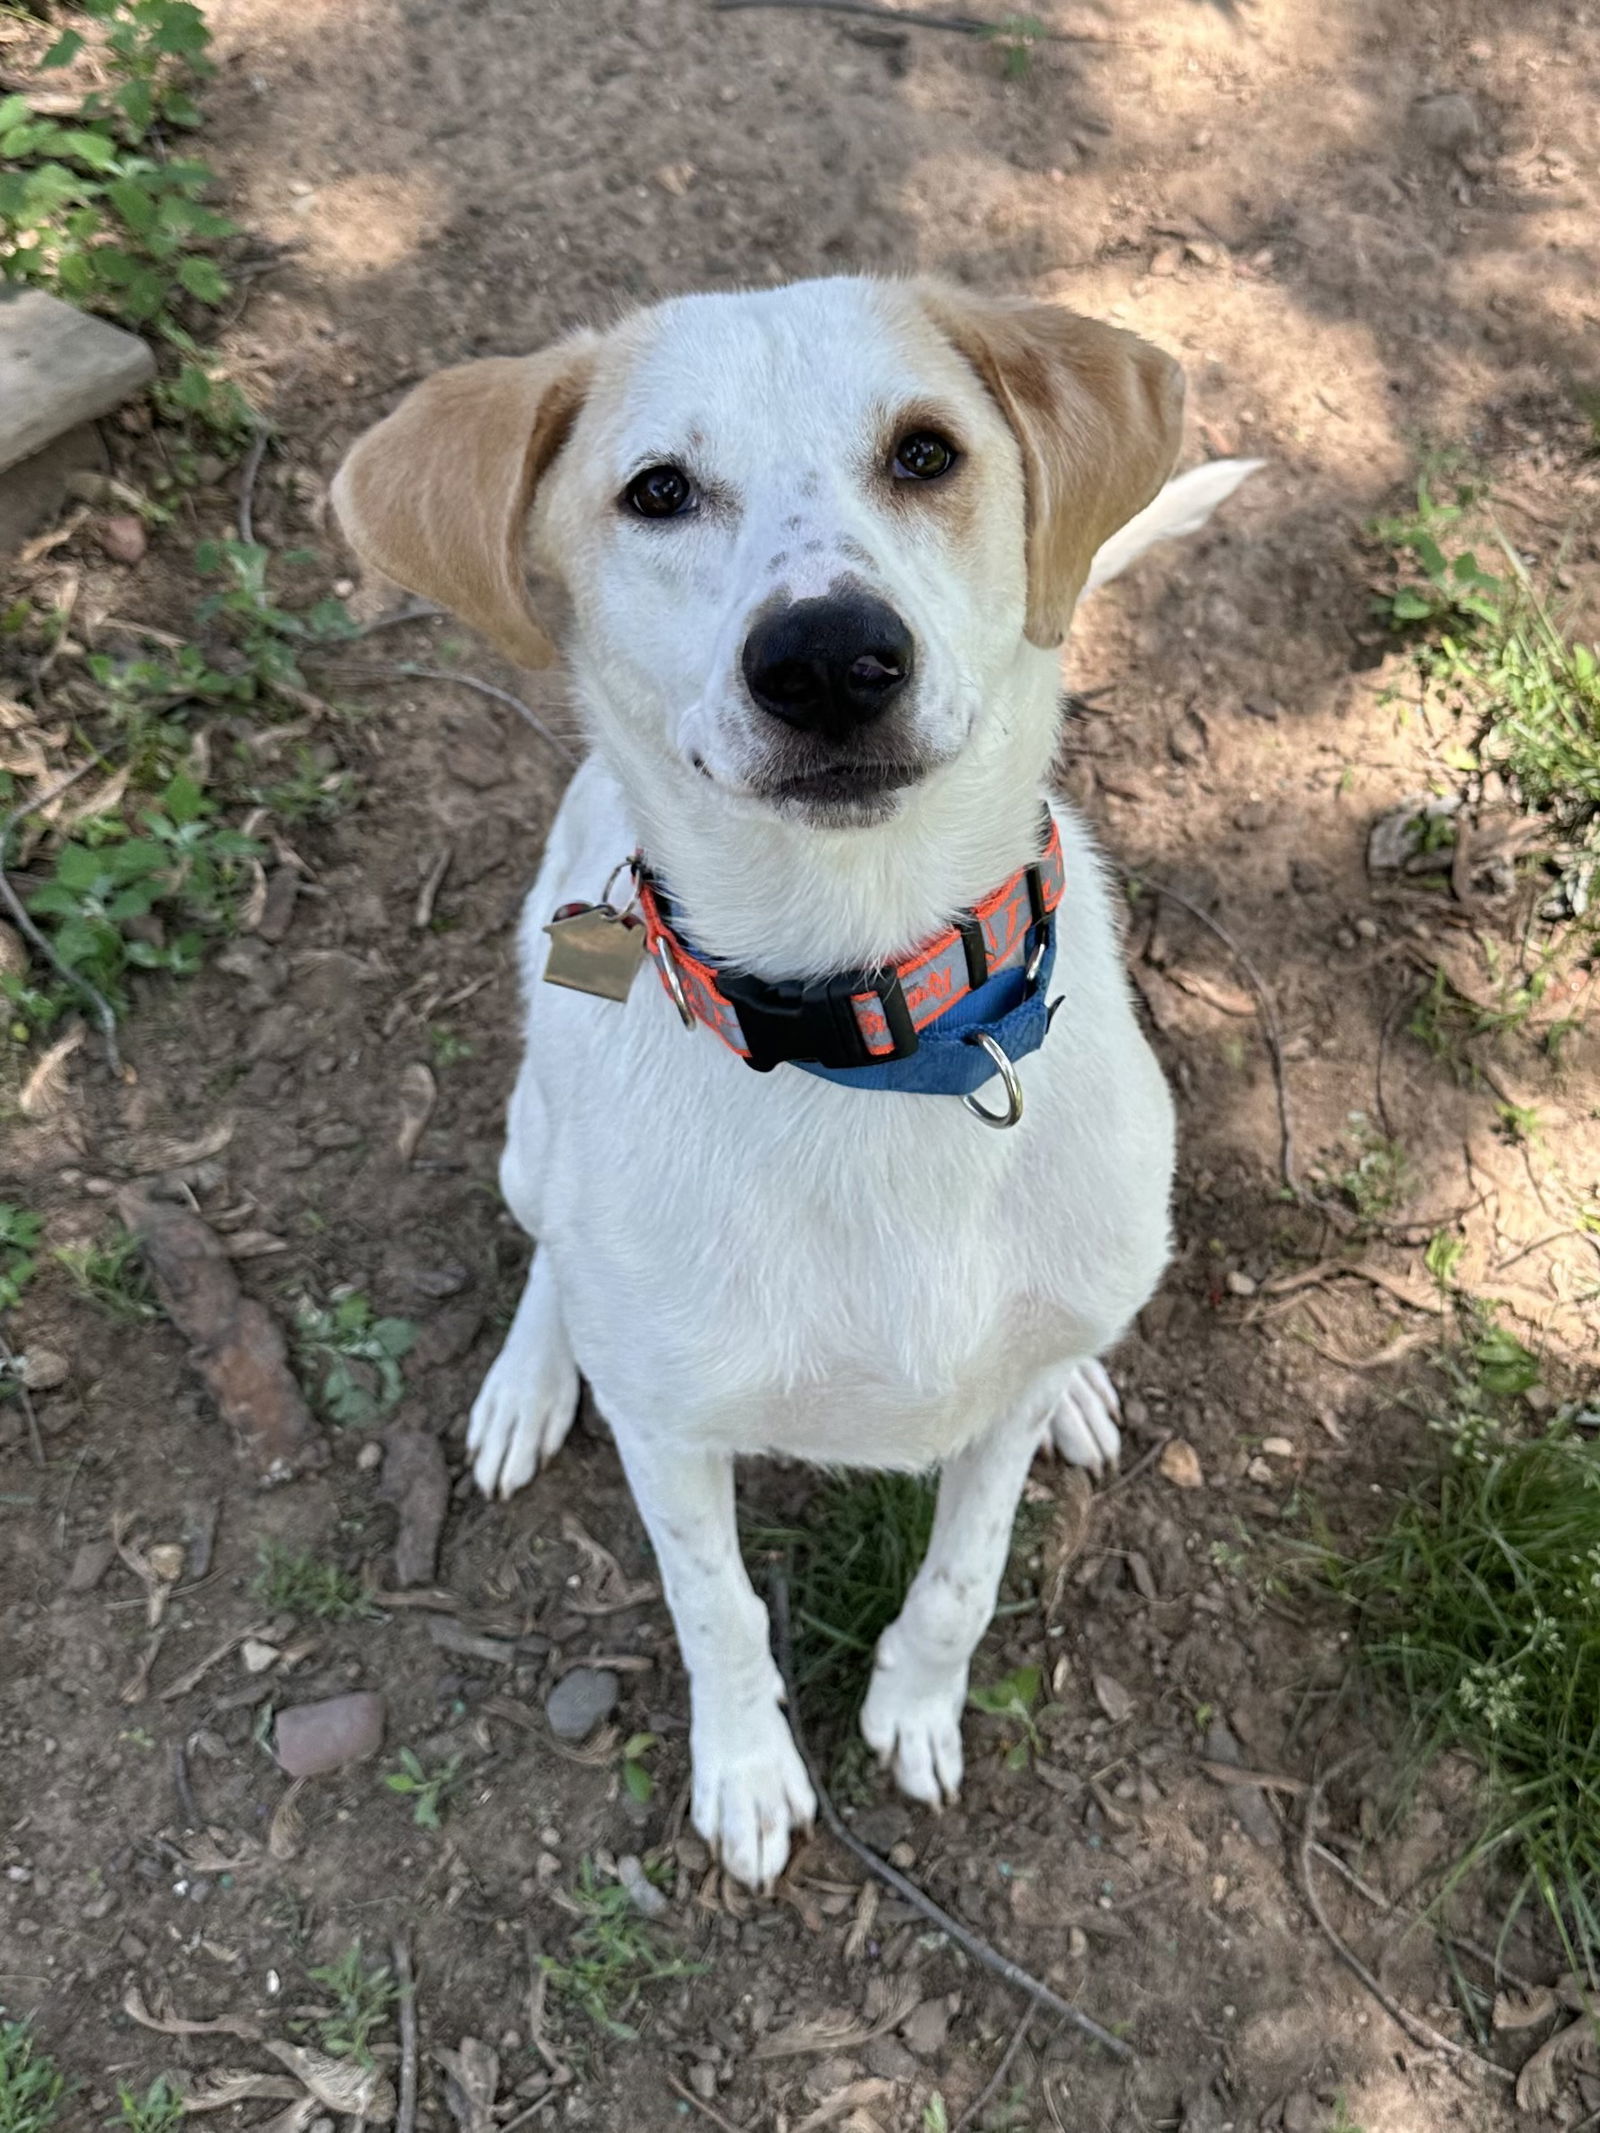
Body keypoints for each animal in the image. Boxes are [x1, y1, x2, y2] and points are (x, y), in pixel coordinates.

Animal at [334, 279, 1262, 1885]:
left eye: (928, 452)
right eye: (656, 491)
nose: (830, 658)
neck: (871, 1041)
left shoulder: (990, 1418)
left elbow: (965, 1571)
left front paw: (915, 1704)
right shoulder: (671, 1436)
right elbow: (716, 1607)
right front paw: (751, 1770)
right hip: (529, 1140)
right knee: (551, 1256)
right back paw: (530, 1379)